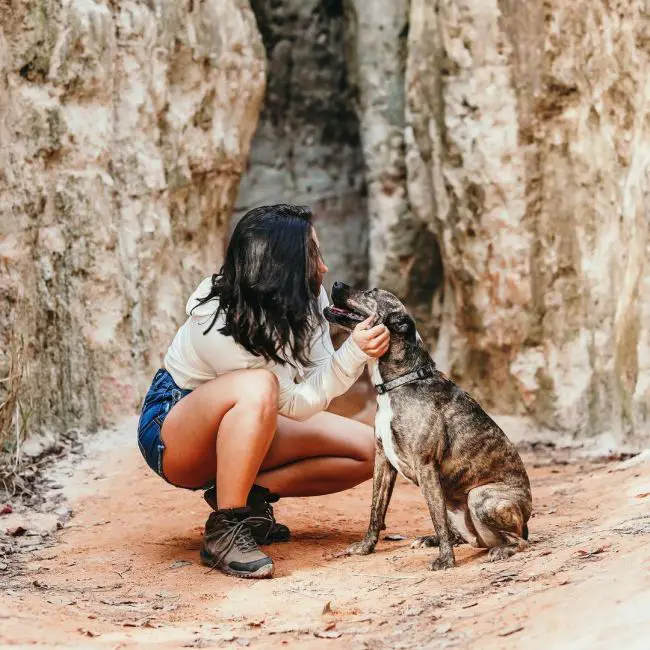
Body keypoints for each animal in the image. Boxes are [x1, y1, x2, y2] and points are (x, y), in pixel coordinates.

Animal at [324, 280, 532, 568]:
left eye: (371, 293)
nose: (335, 282)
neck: (402, 381)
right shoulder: (383, 461)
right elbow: (376, 511)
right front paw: (366, 547)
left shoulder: (425, 465)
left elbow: (437, 519)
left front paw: (445, 560)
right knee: (463, 534)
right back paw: (431, 540)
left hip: (480, 497)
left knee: (519, 540)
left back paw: (501, 549)